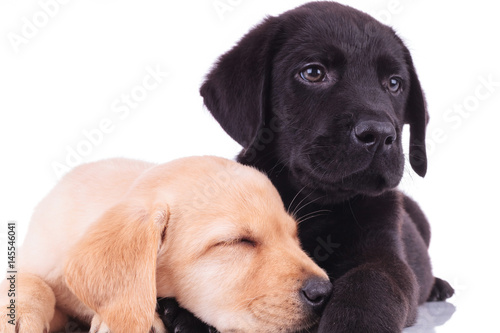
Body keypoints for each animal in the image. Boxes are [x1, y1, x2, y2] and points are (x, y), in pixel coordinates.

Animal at [159, 1, 454, 330]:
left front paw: (353, 323)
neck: (317, 202)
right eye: (313, 73)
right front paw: (187, 313)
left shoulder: (387, 257)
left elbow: (370, 281)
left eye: (394, 83)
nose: (379, 134)